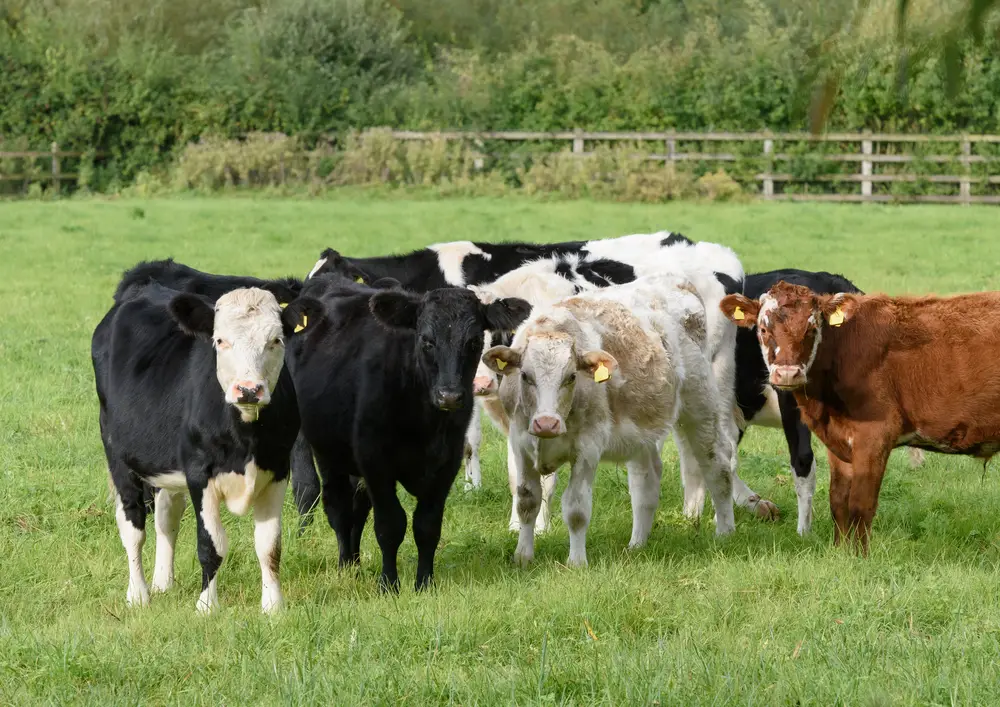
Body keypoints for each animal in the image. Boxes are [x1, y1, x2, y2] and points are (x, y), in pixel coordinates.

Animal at [93, 262, 316, 612]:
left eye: (276, 340)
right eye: (220, 341)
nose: (249, 390)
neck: (246, 436)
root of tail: (145, 283)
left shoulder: (278, 468)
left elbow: (269, 545)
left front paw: (273, 607)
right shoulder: (200, 473)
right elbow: (212, 544)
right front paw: (207, 606)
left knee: (166, 516)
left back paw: (163, 583)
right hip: (117, 454)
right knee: (132, 526)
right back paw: (138, 595)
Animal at [286, 276, 536, 592]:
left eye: (474, 341)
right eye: (426, 341)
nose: (450, 396)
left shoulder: (446, 464)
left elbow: (427, 526)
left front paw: (424, 583)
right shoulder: (376, 463)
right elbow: (390, 525)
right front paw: (388, 585)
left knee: (357, 508)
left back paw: (355, 563)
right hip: (327, 451)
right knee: (338, 507)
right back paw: (345, 565)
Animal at [484, 274, 736, 568]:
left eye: (571, 376)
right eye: (525, 376)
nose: (546, 423)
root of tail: (677, 280)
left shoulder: (588, 448)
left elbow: (576, 508)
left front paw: (577, 562)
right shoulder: (520, 443)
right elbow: (527, 500)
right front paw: (523, 556)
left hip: (700, 408)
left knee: (717, 465)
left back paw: (725, 532)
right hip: (642, 431)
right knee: (646, 482)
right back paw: (636, 544)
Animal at [724, 280, 1000, 552]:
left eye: (811, 329)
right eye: (763, 329)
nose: (788, 373)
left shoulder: (875, 435)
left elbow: (860, 504)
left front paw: (861, 555)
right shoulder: (838, 440)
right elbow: (838, 501)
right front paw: (840, 552)